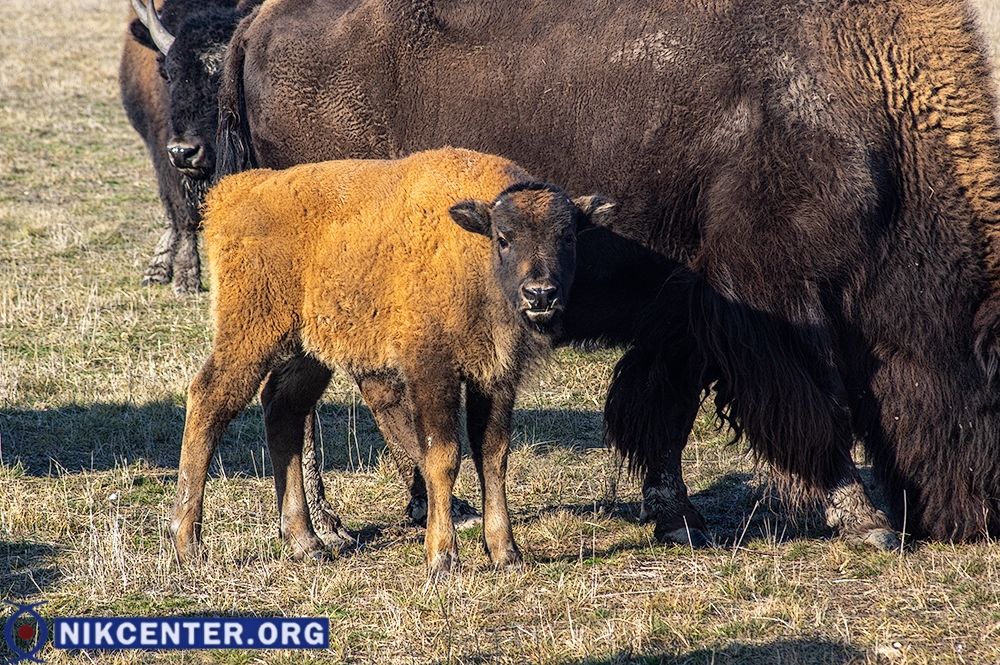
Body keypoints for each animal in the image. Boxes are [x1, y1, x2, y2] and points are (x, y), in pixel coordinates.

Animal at [118, 0, 258, 292]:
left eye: (224, 77)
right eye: (168, 74)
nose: (184, 152)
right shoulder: (164, 154)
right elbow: (183, 213)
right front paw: (186, 278)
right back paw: (157, 269)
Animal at [170, 148, 608, 572]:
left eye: (568, 237)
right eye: (504, 238)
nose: (540, 293)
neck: (471, 250)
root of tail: (236, 192)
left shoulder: (496, 378)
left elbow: (493, 456)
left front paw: (507, 554)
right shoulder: (431, 372)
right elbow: (443, 457)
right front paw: (443, 558)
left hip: (309, 350)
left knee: (283, 410)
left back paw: (306, 543)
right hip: (250, 335)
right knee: (209, 399)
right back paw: (189, 545)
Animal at [209, 0, 1000, 548]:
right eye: (993, 386)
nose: (981, 517)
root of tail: (255, 25)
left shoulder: (687, 309)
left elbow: (663, 408)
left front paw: (678, 518)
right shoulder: (771, 296)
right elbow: (817, 401)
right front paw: (864, 518)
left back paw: (381, 517)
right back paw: (340, 528)